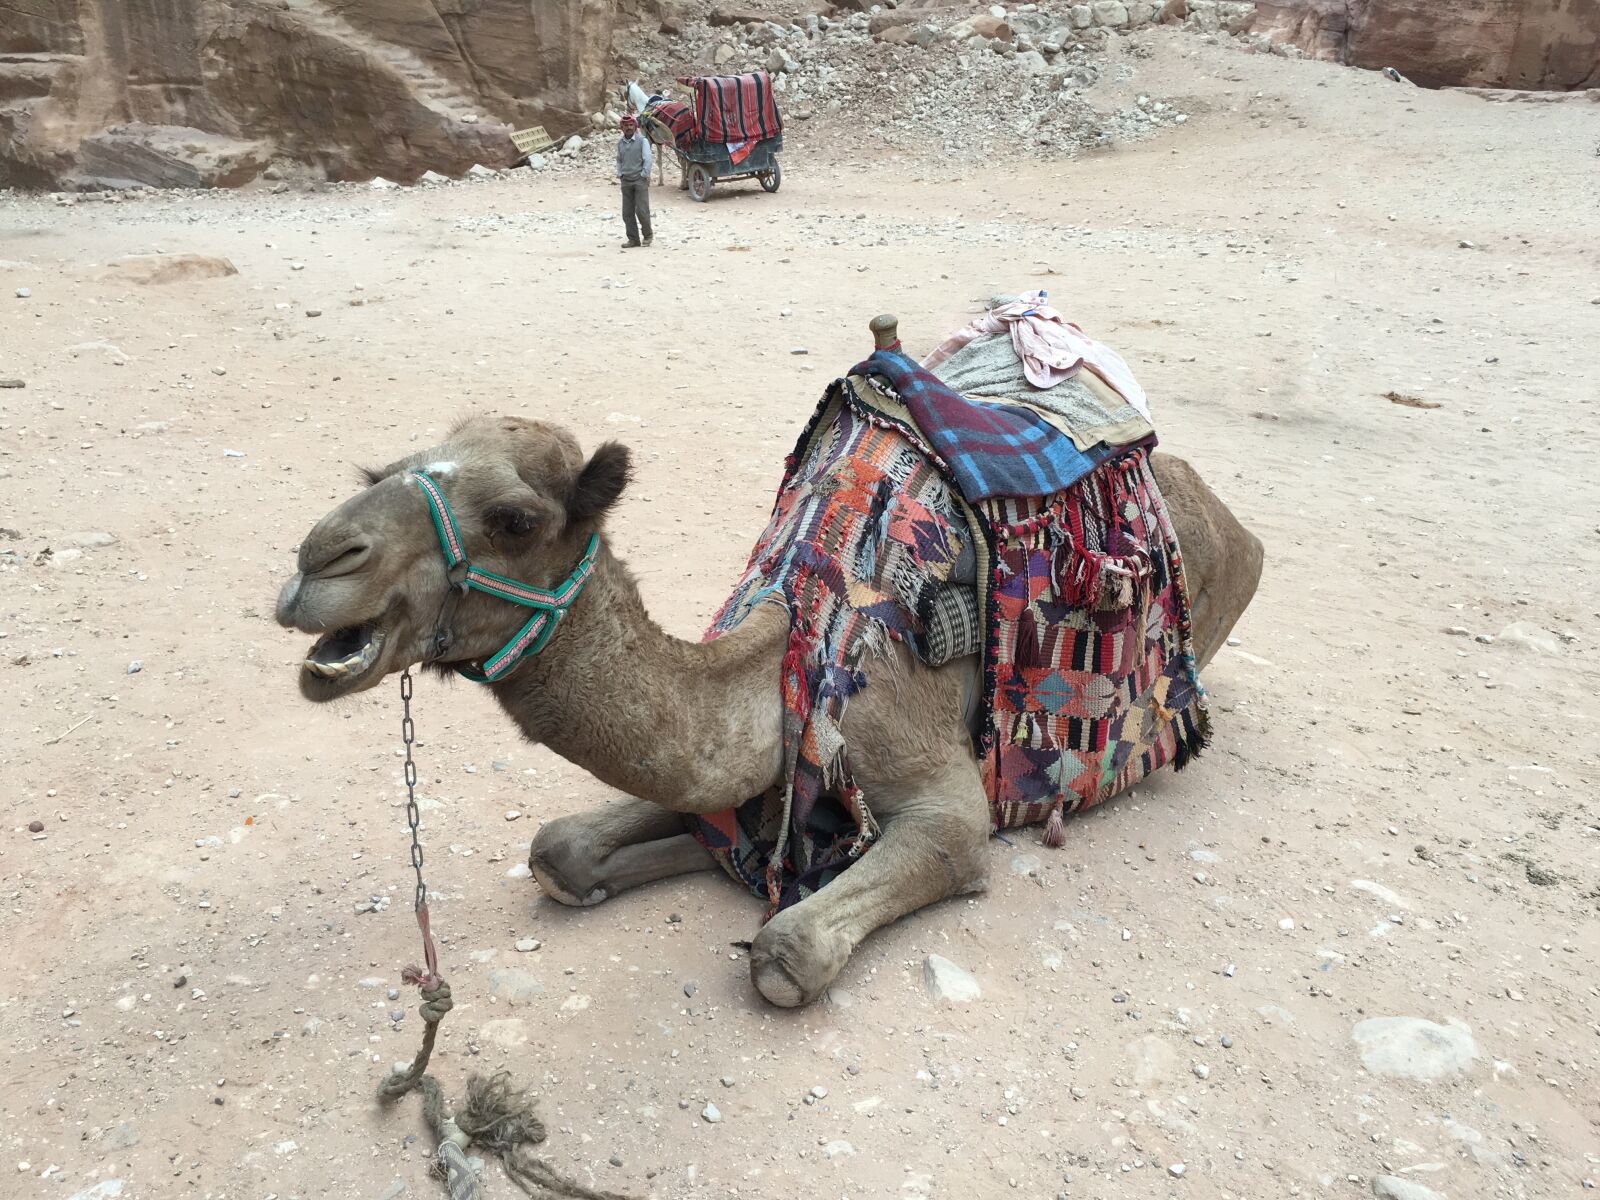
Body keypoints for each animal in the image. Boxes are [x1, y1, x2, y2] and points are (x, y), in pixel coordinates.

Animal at [275, 338, 1263, 1009]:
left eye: (515, 519)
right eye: (379, 470)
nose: (318, 562)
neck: (788, 653)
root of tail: (1228, 514)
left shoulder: (938, 790)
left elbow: (790, 951)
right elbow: (561, 848)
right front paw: (705, 850)